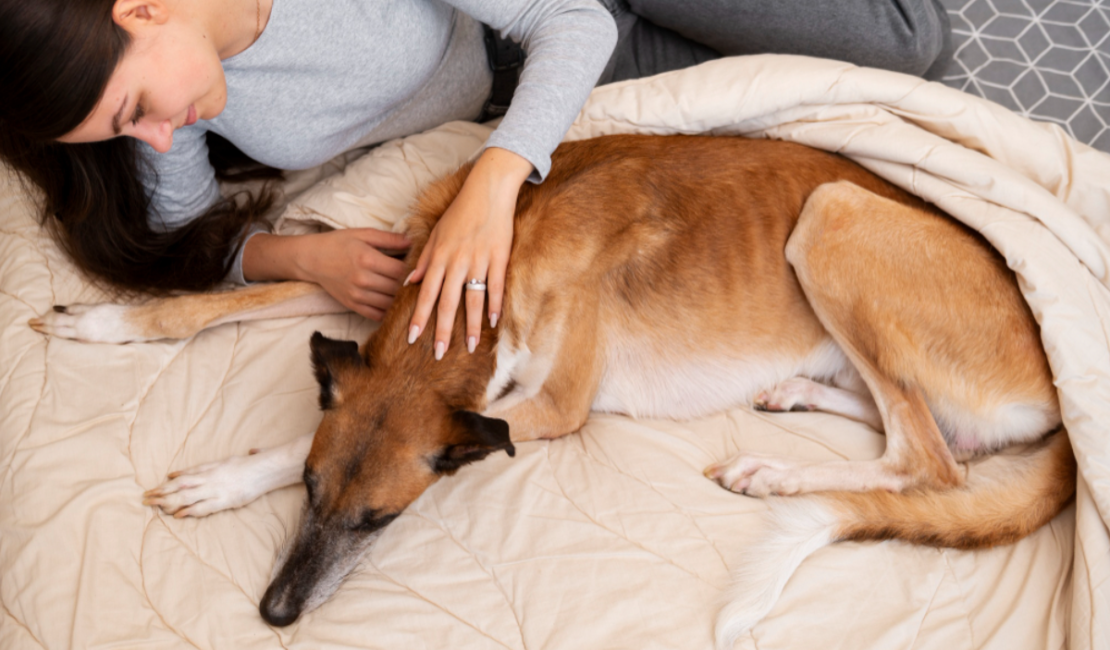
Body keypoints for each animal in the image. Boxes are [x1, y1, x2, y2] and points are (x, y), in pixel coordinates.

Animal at [32, 133, 1074, 643]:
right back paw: (792, 404)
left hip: (834, 215)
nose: (276, 617)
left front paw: (221, 479)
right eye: (312, 498)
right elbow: (223, 303)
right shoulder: (379, 282)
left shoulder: (544, 407)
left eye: (380, 522)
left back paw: (775, 474)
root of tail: (1059, 385)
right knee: (926, 436)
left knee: (931, 462)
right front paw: (106, 324)